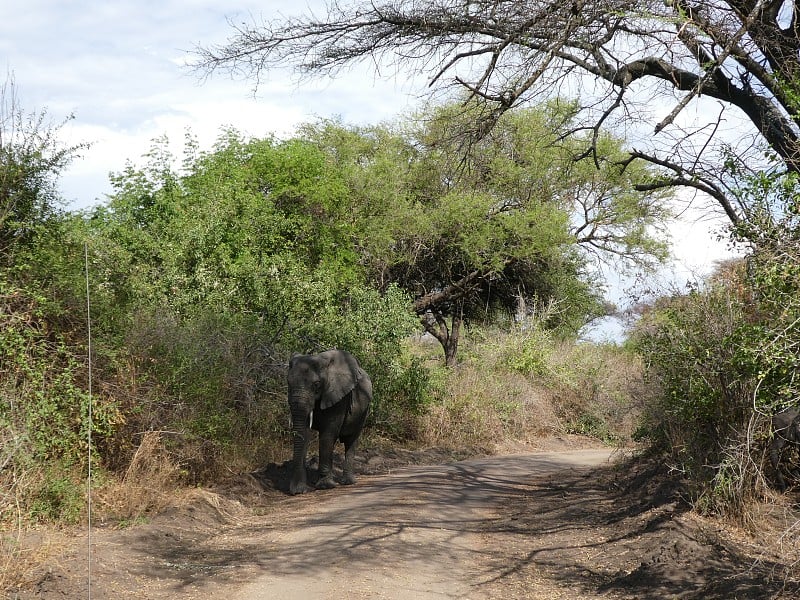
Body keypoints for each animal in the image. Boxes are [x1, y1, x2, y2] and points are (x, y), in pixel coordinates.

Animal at [286, 350, 374, 494]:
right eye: (288, 383)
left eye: (316, 384)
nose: (297, 491)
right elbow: (304, 433)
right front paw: (300, 490)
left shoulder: (338, 396)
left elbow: (328, 434)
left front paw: (325, 486)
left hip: (364, 411)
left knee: (351, 440)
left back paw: (348, 482)